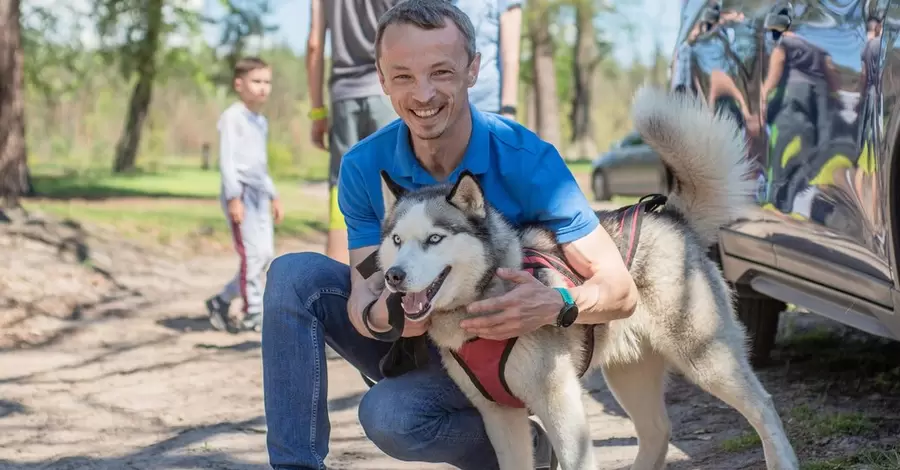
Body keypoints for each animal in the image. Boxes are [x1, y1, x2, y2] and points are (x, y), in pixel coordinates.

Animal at [376, 87, 800, 470]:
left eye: (434, 239)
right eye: (396, 241)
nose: (394, 276)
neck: (481, 297)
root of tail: (671, 218)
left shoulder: (559, 401)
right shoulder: (499, 416)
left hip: (704, 357)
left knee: (762, 405)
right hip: (630, 373)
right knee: (657, 431)